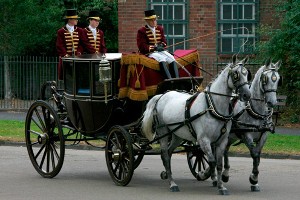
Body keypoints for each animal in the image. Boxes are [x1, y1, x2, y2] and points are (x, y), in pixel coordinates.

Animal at [142, 54, 252, 194]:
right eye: (235, 74)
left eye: (247, 73)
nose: (247, 95)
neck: (212, 106)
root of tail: (162, 95)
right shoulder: (203, 140)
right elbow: (212, 161)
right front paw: (204, 174)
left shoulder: (221, 141)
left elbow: (219, 164)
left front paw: (221, 186)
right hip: (163, 132)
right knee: (165, 155)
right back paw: (172, 183)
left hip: (177, 135)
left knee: (169, 152)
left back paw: (167, 174)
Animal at [221, 58, 282, 191]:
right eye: (265, 79)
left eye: (278, 79)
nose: (272, 102)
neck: (256, 110)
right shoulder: (246, 135)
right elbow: (254, 154)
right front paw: (253, 178)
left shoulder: (264, 135)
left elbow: (258, 156)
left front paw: (255, 181)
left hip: (230, 137)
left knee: (225, 149)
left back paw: (224, 173)